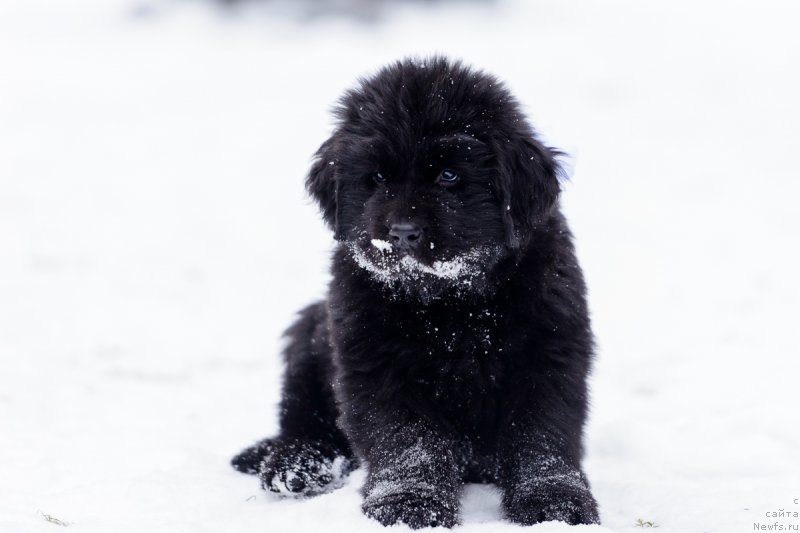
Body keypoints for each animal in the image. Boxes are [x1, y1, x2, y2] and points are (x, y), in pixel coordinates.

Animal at [234, 57, 596, 528]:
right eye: (377, 178)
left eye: (449, 175)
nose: (402, 234)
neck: (452, 305)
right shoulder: (376, 362)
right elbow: (408, 439)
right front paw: (408, 504)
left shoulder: (549, 350)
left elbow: (541, 434)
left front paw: (556, 501)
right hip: (309, 337)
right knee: (303, 419)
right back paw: (294, 465)